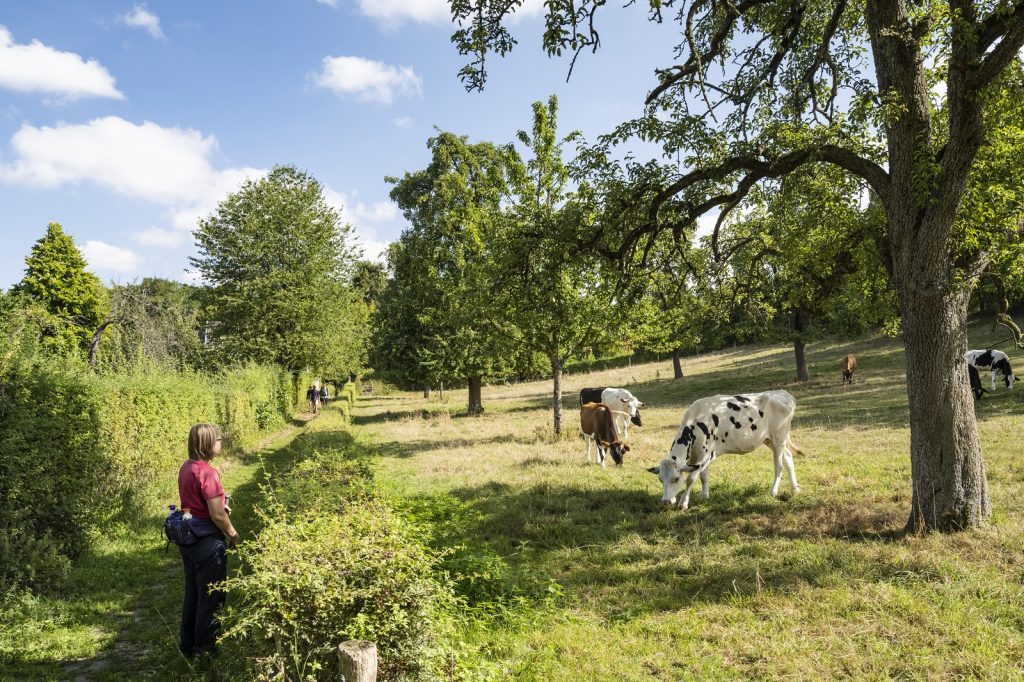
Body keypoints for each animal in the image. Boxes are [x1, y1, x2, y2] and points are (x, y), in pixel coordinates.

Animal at [647, 391, 806, 507]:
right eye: (660, 479)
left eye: (676, 478)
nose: (666, 502)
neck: (696, 424)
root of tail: (783, 393)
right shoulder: (700, 456)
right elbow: (703, 476)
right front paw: (705, 496)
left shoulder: (707, 455)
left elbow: (691, 479)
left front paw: (683, 503)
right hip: (771, 440)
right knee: (788, 458)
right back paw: (795, 487)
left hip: (779, 439)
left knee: (779, 466)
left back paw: (773, 491)